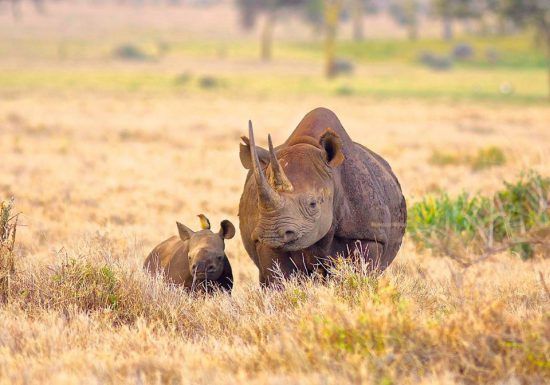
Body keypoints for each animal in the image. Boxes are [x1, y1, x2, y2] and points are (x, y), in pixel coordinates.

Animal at [239, 106, 408, 284]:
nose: (270, 234)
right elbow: (279, 279)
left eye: (313, 204)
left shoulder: (369, 236)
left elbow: (360, 274)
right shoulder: (264, 243)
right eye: (258, 204)